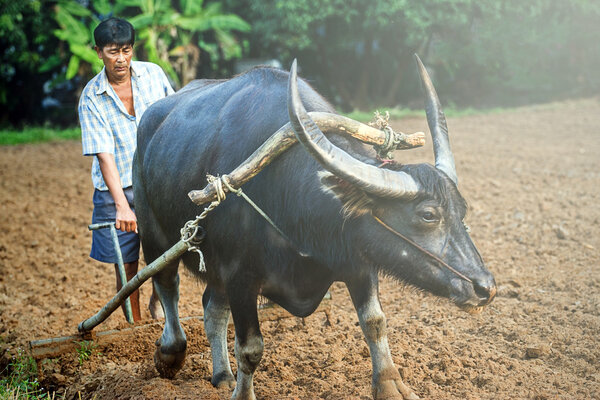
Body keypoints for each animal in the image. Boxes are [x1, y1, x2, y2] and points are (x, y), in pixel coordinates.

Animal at [135, 57, 496, 400]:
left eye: (462, 210)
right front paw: (244, 392)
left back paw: (223, 376)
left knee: (212, 309)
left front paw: (391, 386)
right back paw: (170, 354)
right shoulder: (240, 277)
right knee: (167, 286)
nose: (486, 288)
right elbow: (250, 348)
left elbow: (375, 322)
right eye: (428, 215)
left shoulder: (357, 260)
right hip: (154, 236)